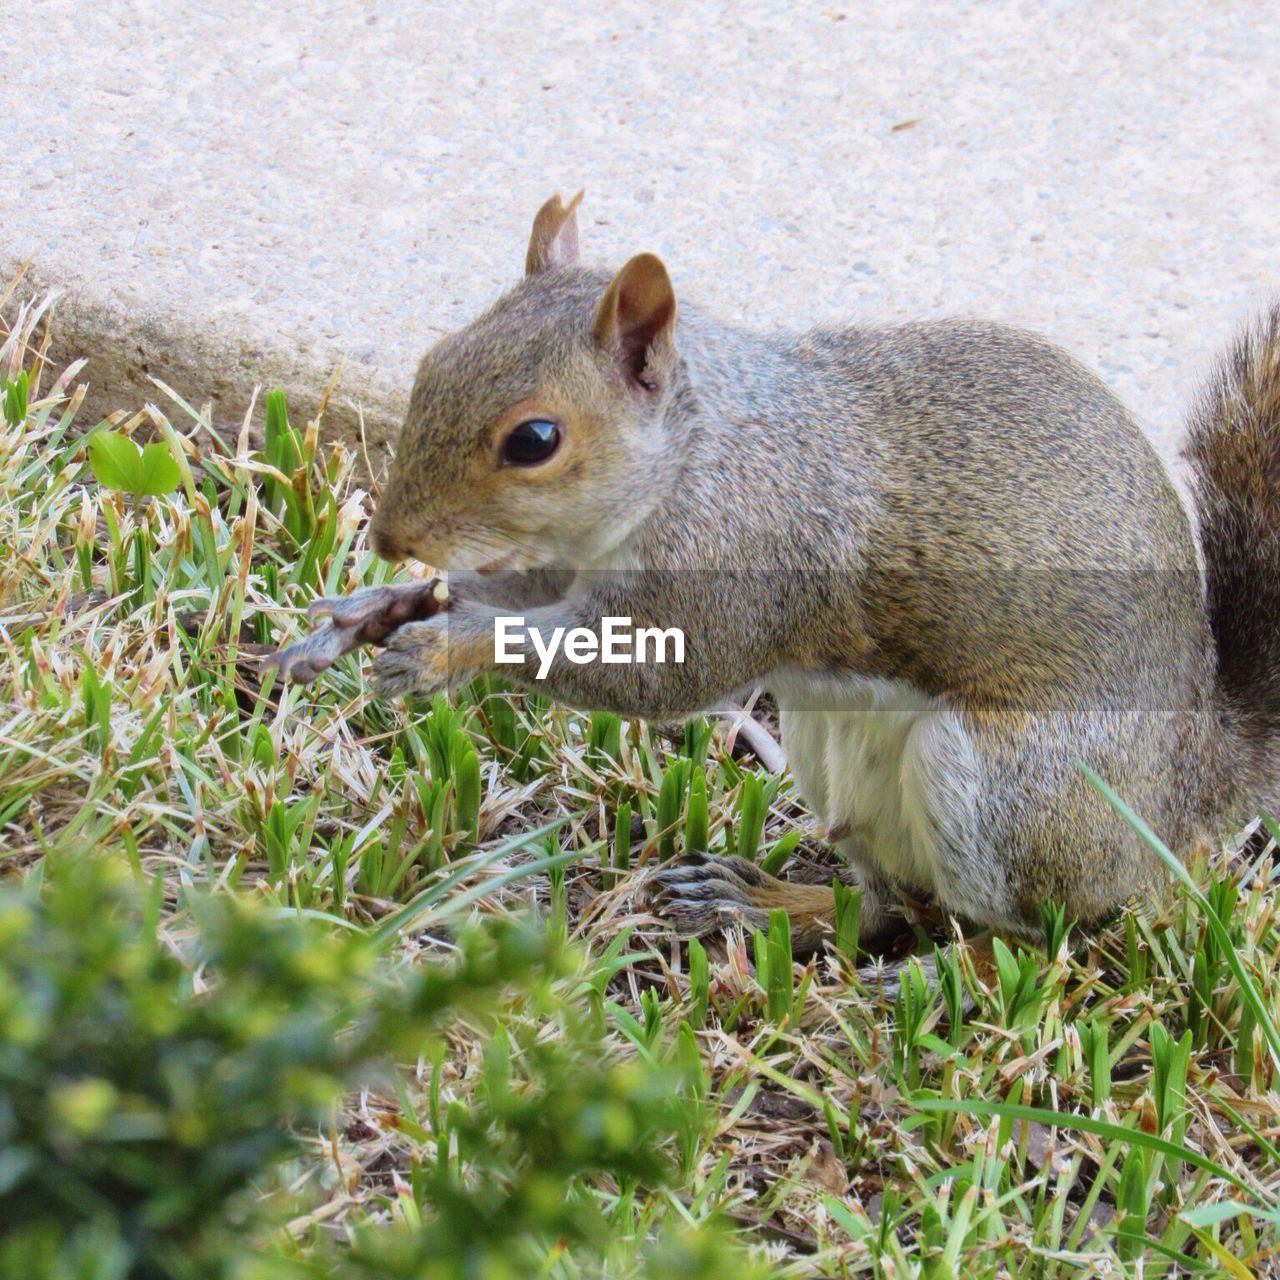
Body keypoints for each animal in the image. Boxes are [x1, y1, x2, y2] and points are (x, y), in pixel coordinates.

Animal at [275, 194, 1280, 957]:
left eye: (535, 440)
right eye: (432, 360)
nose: (392, 535)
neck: (697, 451)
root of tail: (1188, 787)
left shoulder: (736, 562)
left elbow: (645, 675)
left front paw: (445, 648)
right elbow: (517, 596)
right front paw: (378, 608)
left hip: (1012, 793)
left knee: (1033, 936)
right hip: (832, 750)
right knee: (885, 906)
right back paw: (766, 905)